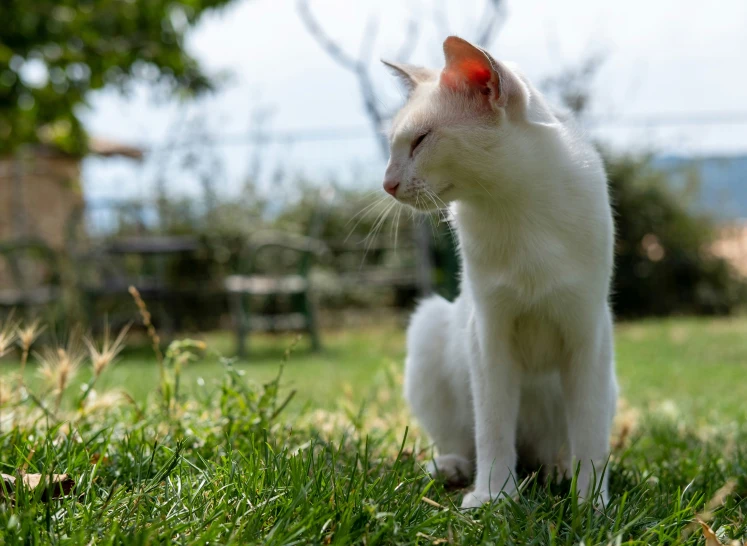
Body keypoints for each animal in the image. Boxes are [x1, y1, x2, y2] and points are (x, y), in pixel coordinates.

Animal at [382, 37, 616, 506]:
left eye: (420, 141)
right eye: (395, 146)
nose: (387, 183)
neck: (512, 206)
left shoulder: (588, 332)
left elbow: (590, 432)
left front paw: (591, 505)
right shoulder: (489, 333)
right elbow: (491, 427)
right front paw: (493, 497)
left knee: (556, 448)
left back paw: (559, 472)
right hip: (428, 326)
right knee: (465, 441)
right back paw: (454, 470)